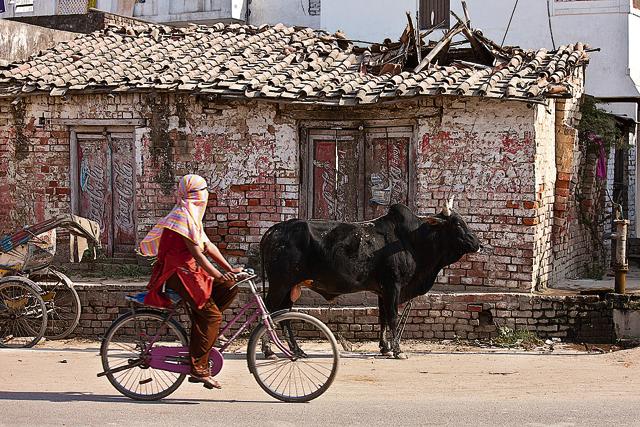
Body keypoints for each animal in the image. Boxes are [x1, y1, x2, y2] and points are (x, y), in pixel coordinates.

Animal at [260, 204, 480, 358]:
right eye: (457, 224)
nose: (478, 244)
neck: (412, 240)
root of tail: (273, 230)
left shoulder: (382, 291)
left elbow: (382, 318)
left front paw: (385, 348)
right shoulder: (393, 286)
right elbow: (392, 317)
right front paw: (398, 351)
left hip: (290, 288)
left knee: (283, 316)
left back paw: (296, 350)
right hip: (280, 285)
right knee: (268, 311)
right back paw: (269, 350)